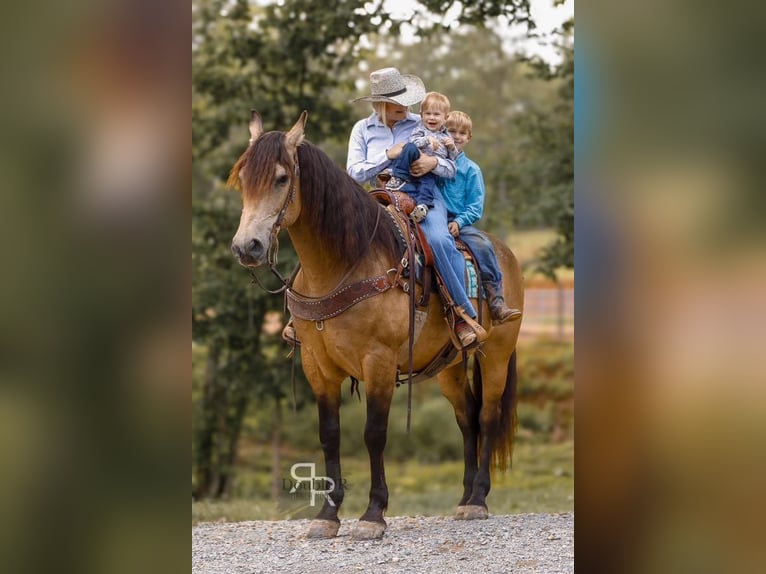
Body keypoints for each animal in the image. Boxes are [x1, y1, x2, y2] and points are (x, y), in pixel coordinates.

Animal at [231, 110, 524, 544]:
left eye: (282, 178)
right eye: (243, 178)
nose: (246, 247)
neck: (342, 265)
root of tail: (503, 252)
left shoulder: (379, 363)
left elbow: (374, 432)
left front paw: (373, 515)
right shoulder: (317, 367)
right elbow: (330, 434)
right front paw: (327, 516)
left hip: (497, 357)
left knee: (487, 415)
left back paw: (478, 500)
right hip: (450, 366)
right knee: (466, 417)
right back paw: (465, 495)